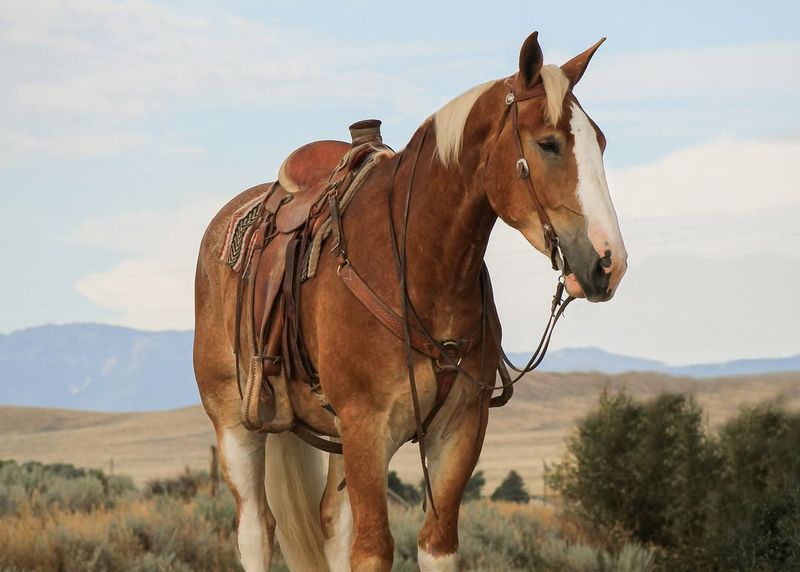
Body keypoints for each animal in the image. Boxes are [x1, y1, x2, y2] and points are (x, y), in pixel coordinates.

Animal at [192, 31, 624, 572]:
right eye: (548, 143)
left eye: (600, 142)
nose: (609, 262)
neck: (419, 271)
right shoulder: (366, 429)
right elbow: (372, 549)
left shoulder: (459, 431)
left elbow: (435, 546)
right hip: (235, 424)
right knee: (256, 529)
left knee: (332, 522)